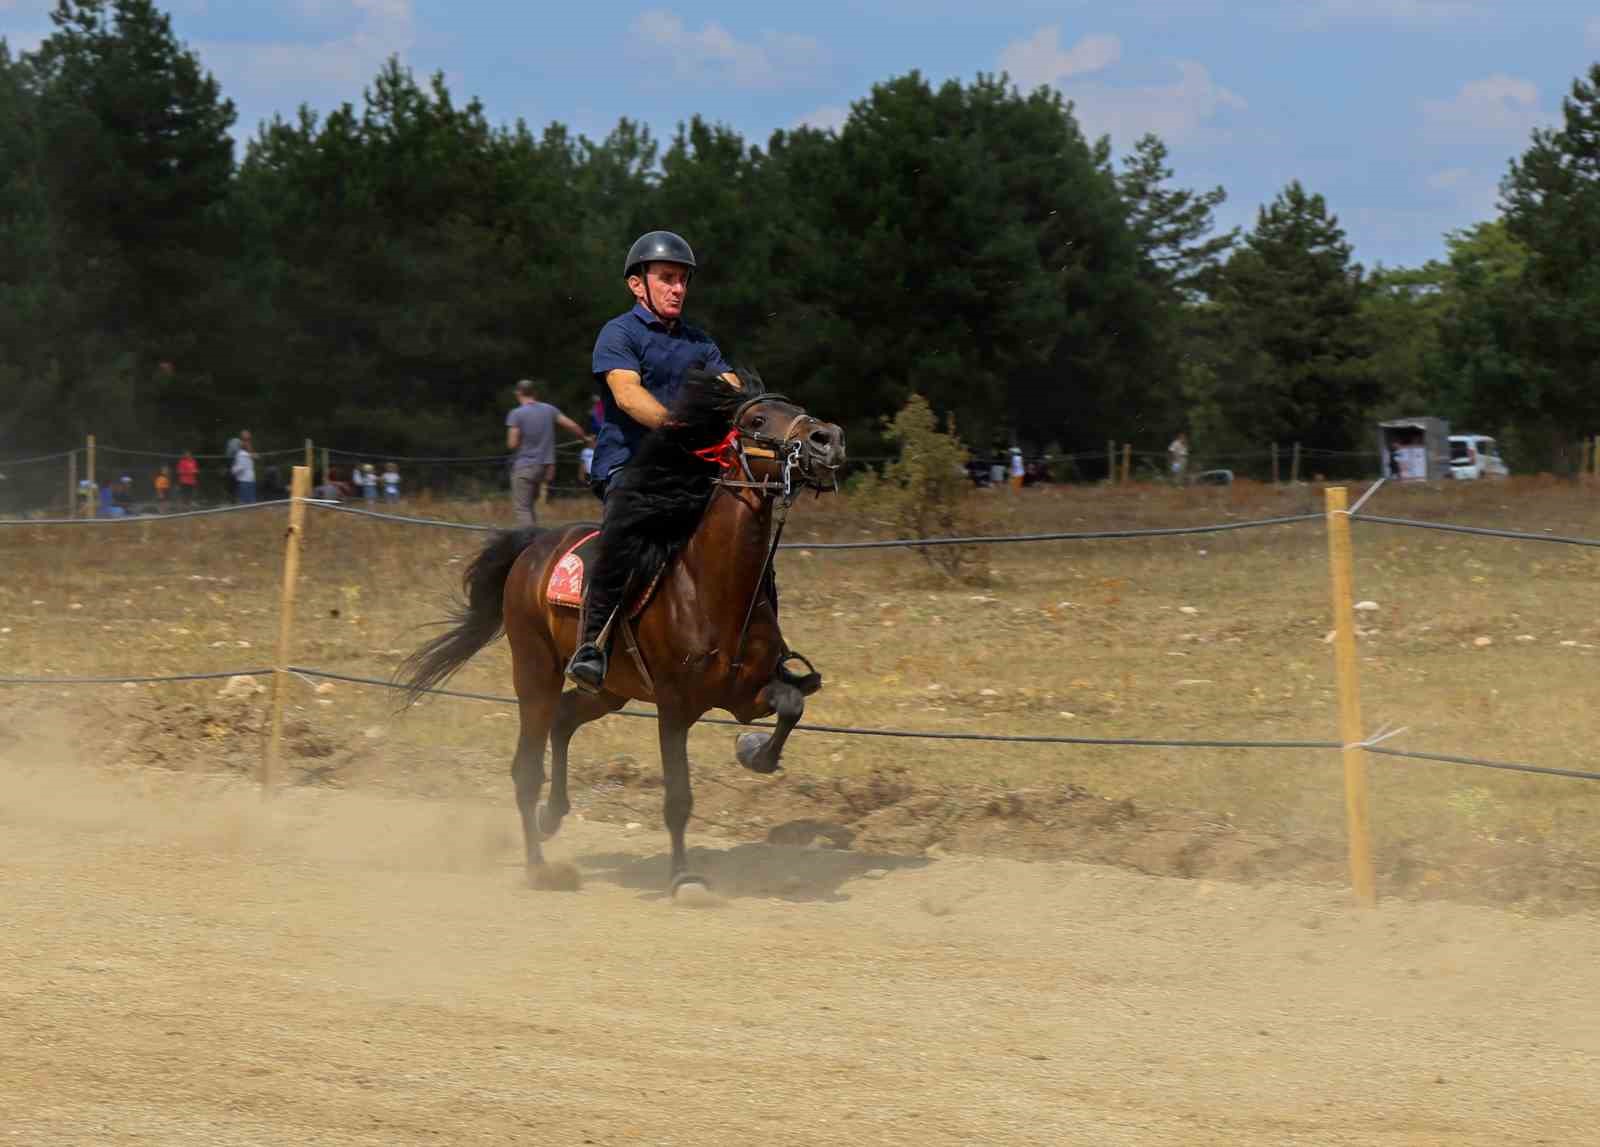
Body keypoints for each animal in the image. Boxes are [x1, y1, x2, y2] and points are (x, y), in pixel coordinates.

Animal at [396, 371, 851, 902]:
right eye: (758, 420)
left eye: (796, 408)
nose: (828, 439)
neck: (711, 586)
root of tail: (535, 546)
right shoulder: (674, 707)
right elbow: (678, 798)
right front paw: (684, 878)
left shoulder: (748, 693)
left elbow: (791, 705)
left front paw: (754, 752)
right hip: (535, 672)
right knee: (526, 767)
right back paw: (541, 868)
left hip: (610, 690)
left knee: (565, 720)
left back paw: (554, 816)